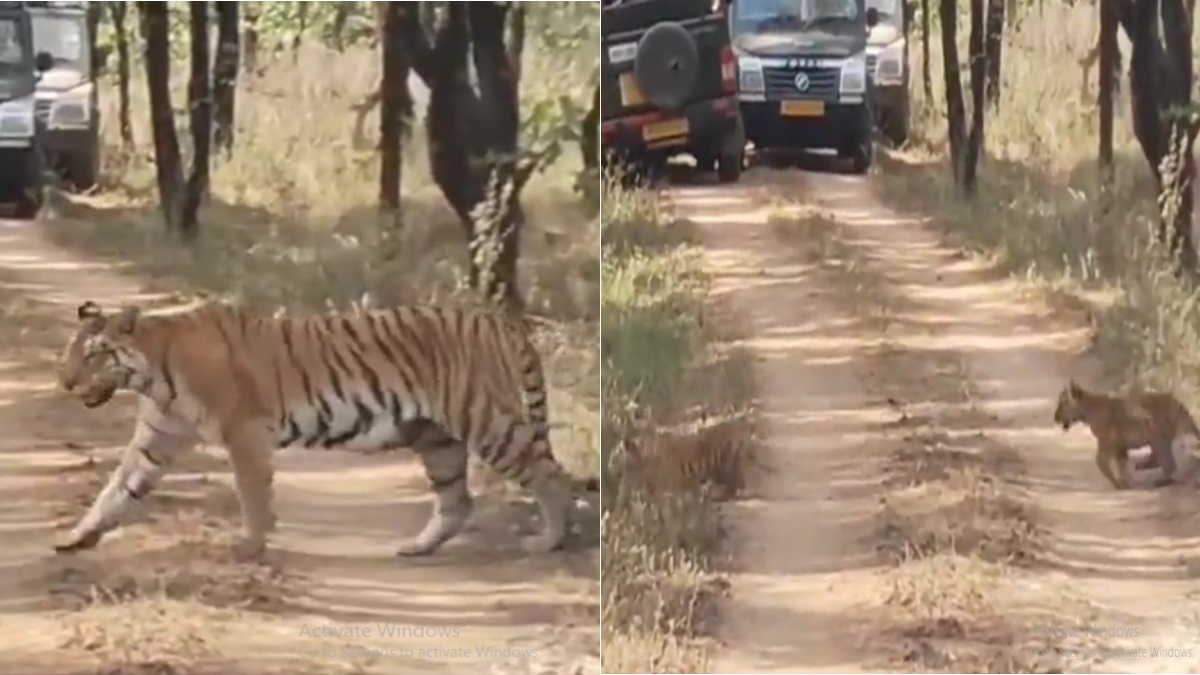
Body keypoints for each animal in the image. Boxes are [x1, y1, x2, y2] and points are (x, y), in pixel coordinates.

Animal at [54, 299, 597, 559]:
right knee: (457, 500)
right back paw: (417, 547)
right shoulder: (158, 437)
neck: (153, 372)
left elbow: (253, 495)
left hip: (486, 422)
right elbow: (116, 489)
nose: (64, 382)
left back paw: (549, 541)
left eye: (94, 354)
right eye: (71, 351)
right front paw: (76, 538)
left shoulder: (245, 432)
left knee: (550, 476)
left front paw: (250, 547)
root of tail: (500, 321)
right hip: (435, 436)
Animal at [1053, 379, 1199, 490]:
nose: (1055, 417)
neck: (1087, 410)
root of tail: (1177, 402)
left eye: (1062, 403)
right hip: (1157, 438)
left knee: (1168, 462)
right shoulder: (1120, 445)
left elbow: (1100, 461)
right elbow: (1121, 464)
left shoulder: (1106, 442)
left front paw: (1118, 484)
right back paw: (1143, 466)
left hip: (1157, 435)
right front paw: (1125, 482)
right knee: (1160, 459)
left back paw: (1160, 480)